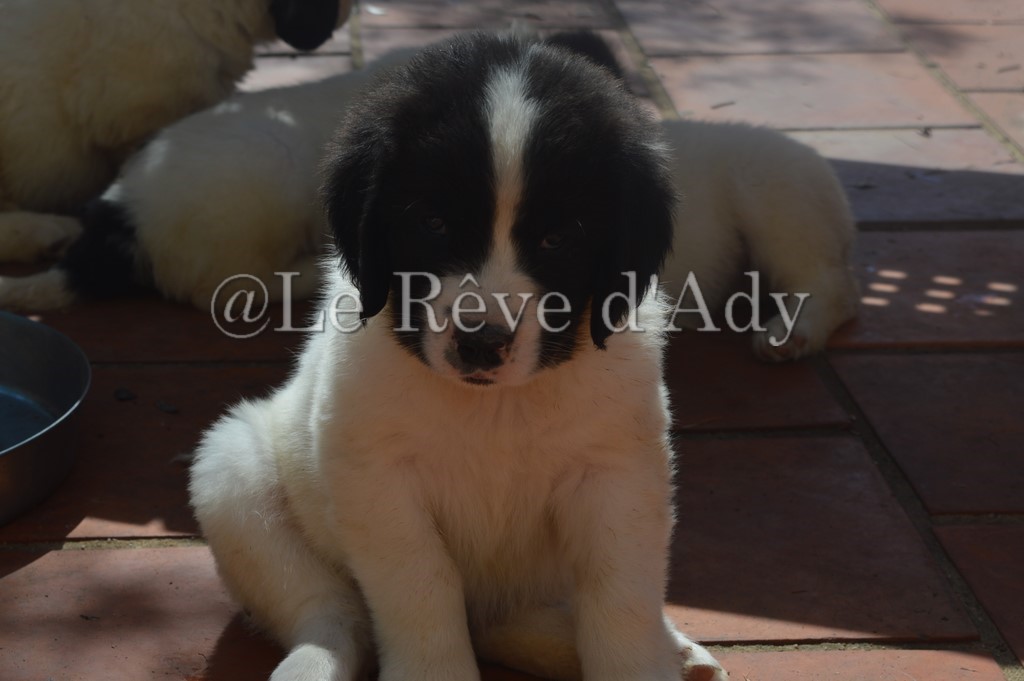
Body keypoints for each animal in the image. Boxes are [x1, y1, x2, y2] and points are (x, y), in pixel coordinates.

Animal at [189, 31, 728, 681]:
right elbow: (422, 582)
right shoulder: (378, 477)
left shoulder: (619, 472)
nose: (481, 342)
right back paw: (313, 664)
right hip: (235, 477)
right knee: (333, 613)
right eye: (433, 221)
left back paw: (675, 651)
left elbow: (620, 596)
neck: (495, 407)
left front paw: (641, 663)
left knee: (508, 622)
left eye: (558, 237)